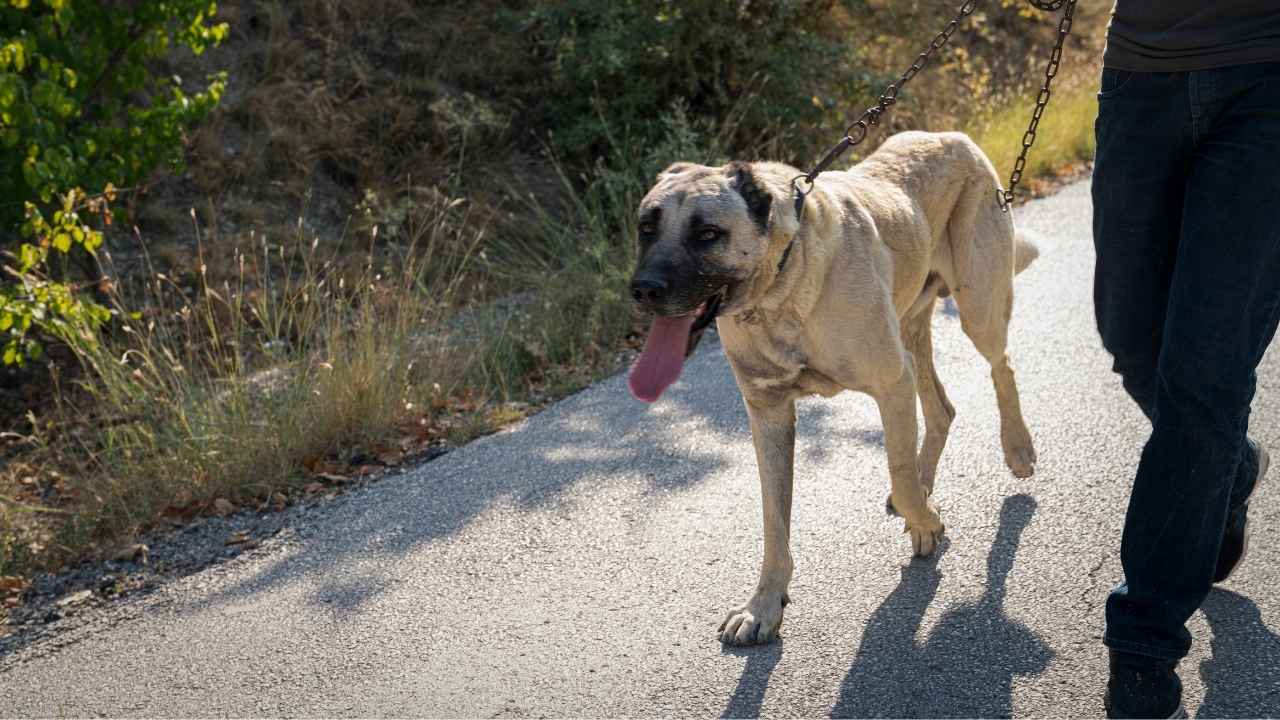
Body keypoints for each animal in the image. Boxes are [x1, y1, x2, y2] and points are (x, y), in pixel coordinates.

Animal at [627, 130, 1039, 645]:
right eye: (647, 227)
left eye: (707, 234)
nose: (643, 290)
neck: (781, 286)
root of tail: (952, 136)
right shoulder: (768, 416)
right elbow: (774, 521)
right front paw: (764, 605)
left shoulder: (891, 382)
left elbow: (898, 475)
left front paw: (927, 522)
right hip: (912, 331)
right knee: (942, 409)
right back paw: (929, 475)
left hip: (976, 307)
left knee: (1003, 366)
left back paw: (1017, 448)